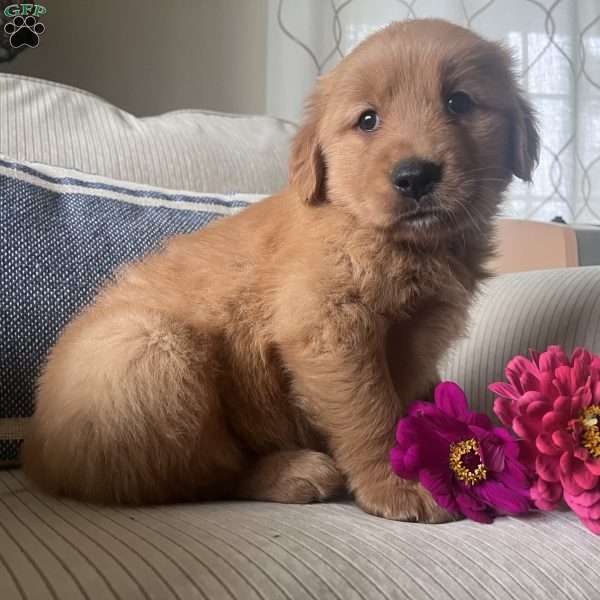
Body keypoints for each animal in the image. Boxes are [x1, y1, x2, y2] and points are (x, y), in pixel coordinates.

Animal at [23, 19, 540, 520]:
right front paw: (400, 484)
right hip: (148, 348)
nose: (415, 176)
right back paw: (291, 471)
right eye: (367, 120)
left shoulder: (420, 336)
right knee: (201, 474)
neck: (386, 238)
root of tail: (38, 455)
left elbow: (415, 402)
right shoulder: (329, 330)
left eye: (460, 102)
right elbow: (372, 411)